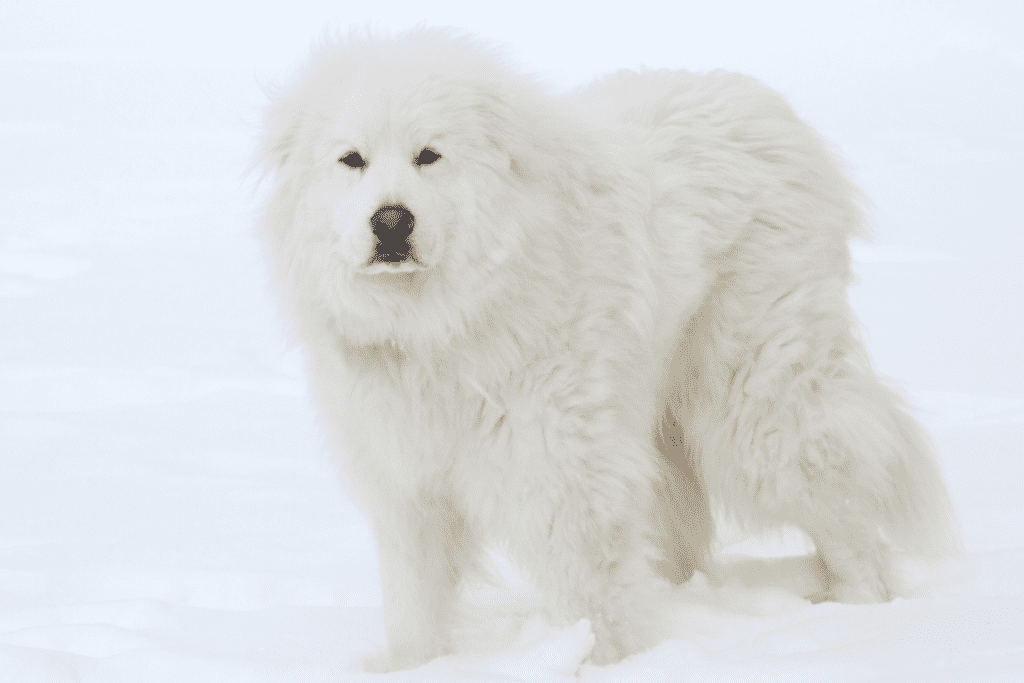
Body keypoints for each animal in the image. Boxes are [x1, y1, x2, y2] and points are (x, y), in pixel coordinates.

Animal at [260, 30, 962, 667]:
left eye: (428, 156)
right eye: (352, 159)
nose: (391, 221)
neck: (444, 319)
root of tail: (763, 106)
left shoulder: (562, 462)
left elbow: (591, 582)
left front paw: (607, 661)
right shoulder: (407, 470)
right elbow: (415, 592)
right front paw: (412, 665)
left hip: (755, 397)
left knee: (837, 493)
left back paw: (860, 617)